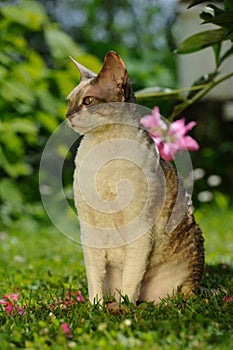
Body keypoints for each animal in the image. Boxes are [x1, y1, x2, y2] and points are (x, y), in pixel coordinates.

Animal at [65, 50, 204, 304]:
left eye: (88, 101)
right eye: (69, 102)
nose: (68, 115)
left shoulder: (140, 228)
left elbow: (131, 278)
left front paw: (124, 307)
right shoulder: (88, 228)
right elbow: (94, 279)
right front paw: (95, 306)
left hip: (185, 273)